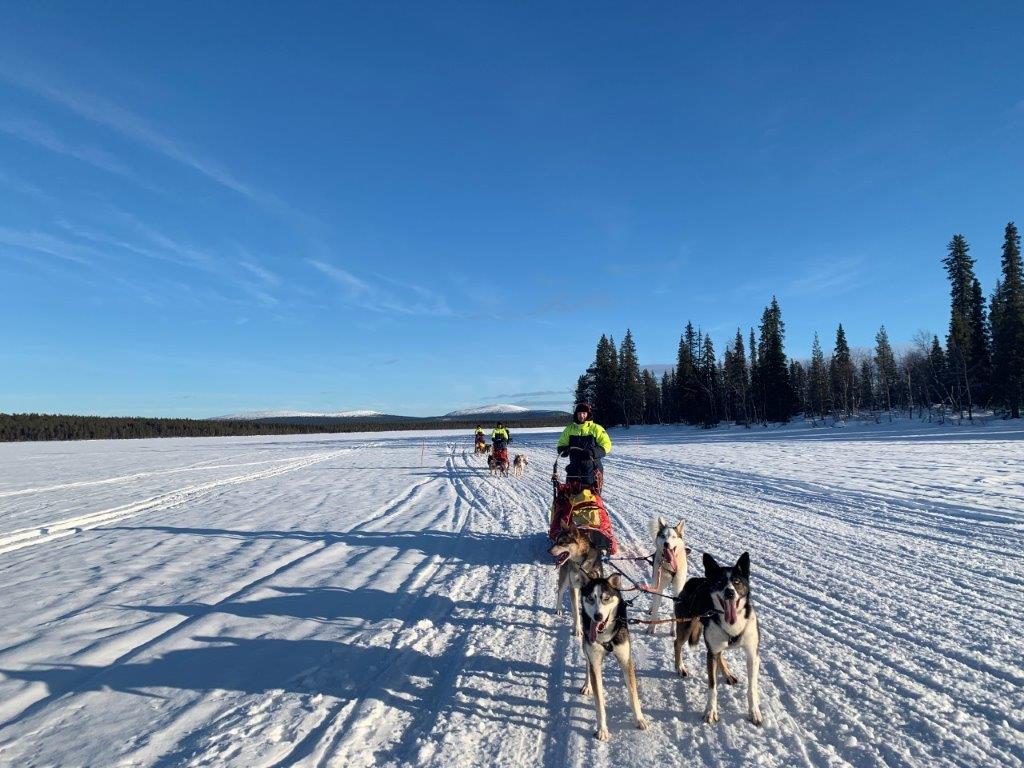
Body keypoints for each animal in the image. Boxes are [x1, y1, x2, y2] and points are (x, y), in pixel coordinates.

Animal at [577, 573, 647, 741]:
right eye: (590, 598)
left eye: (606, 598)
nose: (598, 616)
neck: (605, 636)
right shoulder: (595, 662)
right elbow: (599, 701)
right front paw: (602, 729)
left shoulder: (625, 660)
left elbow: (633, 694)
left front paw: (639, 719)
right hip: (586, 646)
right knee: (587, 664)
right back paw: (587, 685)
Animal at [671, 552, 761, 729]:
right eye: (720, 582)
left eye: (736, 581)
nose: (730, 593)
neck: (732, 625)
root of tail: (694, 580)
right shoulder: (710, 653)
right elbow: (712, 686)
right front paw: (710, 711)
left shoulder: (752, 655)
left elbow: (752, 688)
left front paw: (754, 712)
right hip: (686, 627)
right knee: (677, 643)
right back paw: (680, 667)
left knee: (720, 655)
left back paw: (727, 673)